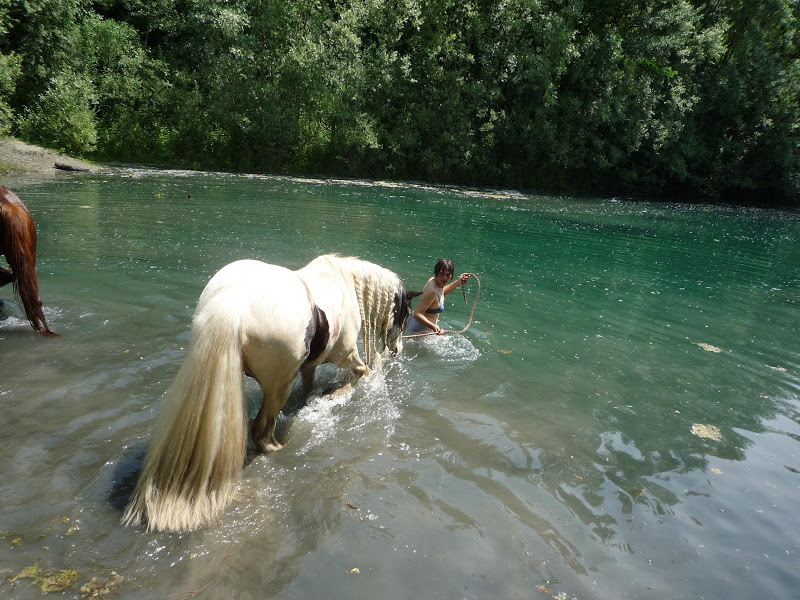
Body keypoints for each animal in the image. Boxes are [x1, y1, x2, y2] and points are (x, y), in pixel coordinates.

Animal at [122, 255, 416, 532]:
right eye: (404, 315)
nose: (398, 350)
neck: (344, 284)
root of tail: (233, 301)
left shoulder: (309, 365)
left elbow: (309, 385)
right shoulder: (345, 354)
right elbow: (360, 373)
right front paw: (336, 395)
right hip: (278, 384)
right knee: (261, 429)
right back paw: (278, 446)